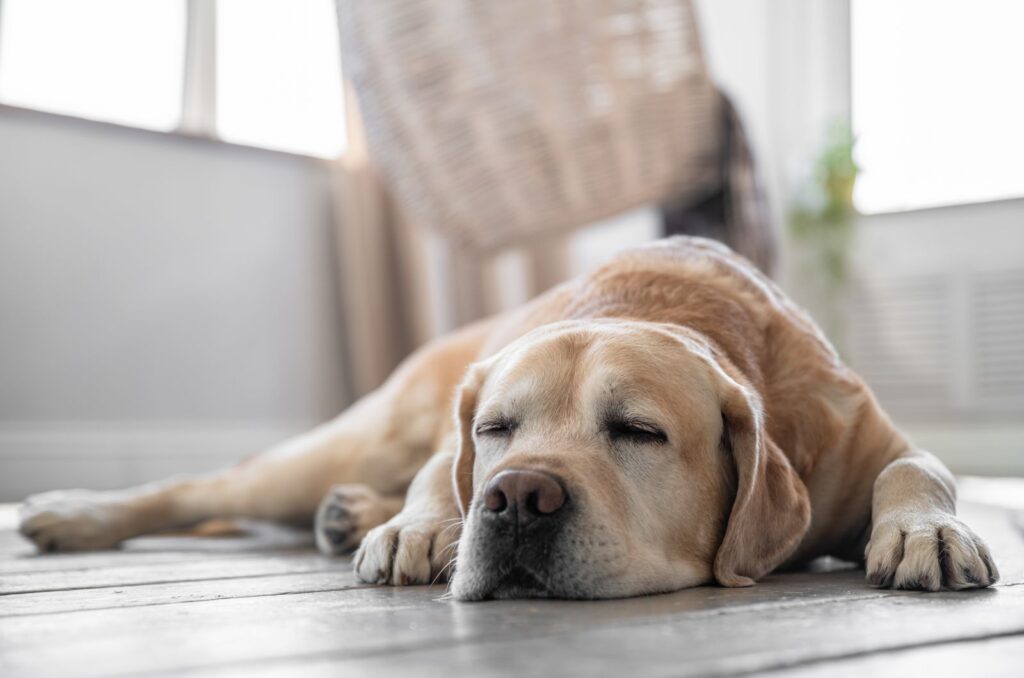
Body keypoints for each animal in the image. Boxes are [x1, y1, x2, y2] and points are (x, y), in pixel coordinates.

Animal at [18, 237, 999, 602]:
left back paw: (349, 512)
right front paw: (421, 528)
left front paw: (925, 530)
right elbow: (436, 479)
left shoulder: (865, 436)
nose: (517, 499)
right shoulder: (454, 430)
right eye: (496, 431)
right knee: (202, 486)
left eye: (638, 432)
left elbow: (918, 468)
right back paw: (74, 513)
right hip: (351, 435)